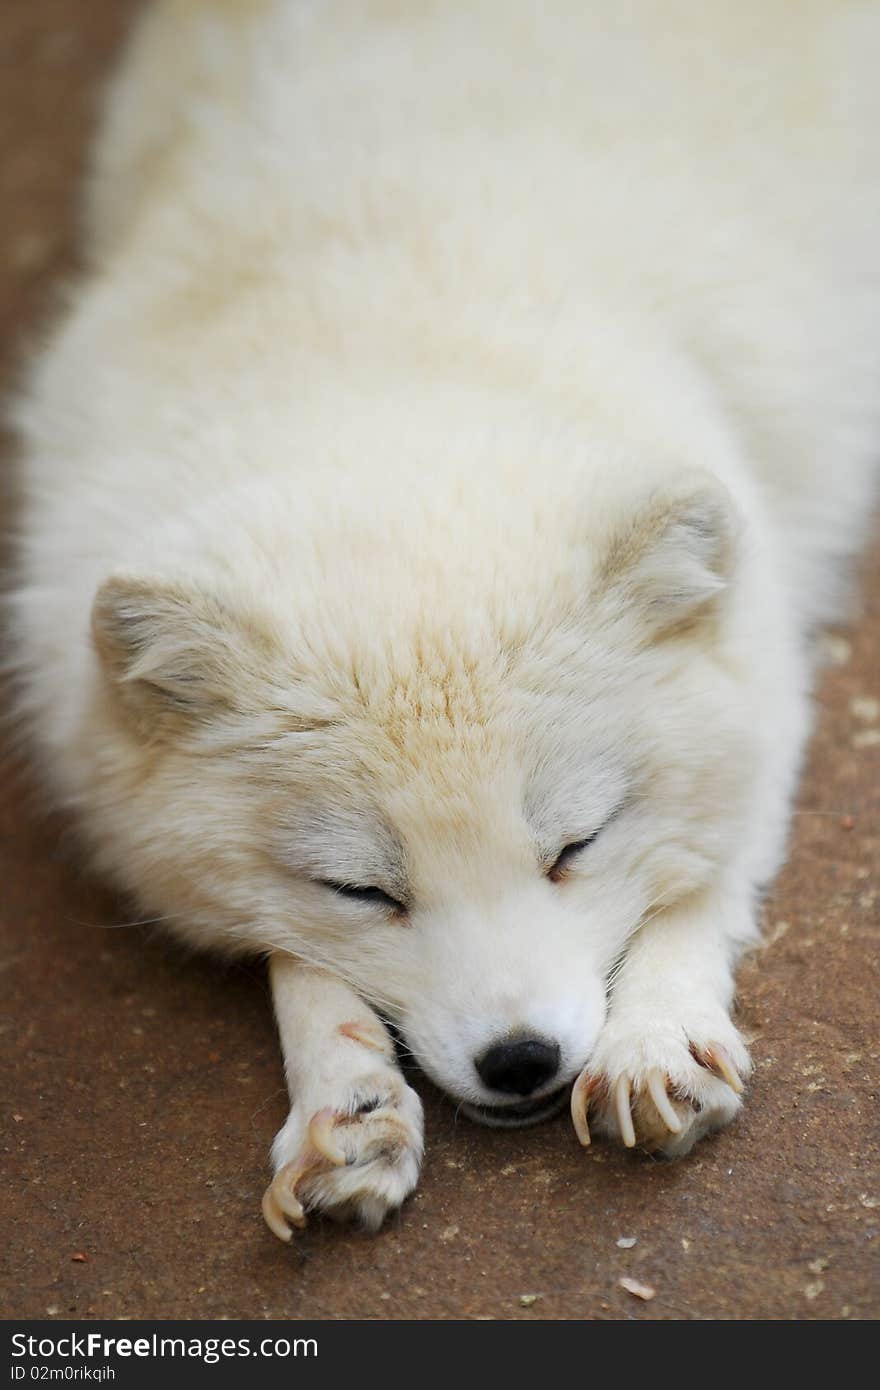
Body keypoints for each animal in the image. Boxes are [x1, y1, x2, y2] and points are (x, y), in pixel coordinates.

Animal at [8, 2, 878, 1239]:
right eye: (365, 888)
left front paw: (656, 1031)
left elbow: (701, 870)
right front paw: (344, 1094)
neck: (382, 355)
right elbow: (295, 956)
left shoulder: (766, 661)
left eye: (575, 844)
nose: (521, 1061)